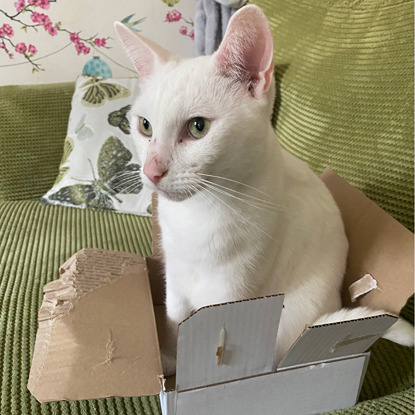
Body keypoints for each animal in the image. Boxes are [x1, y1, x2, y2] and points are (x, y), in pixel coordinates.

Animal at [115, 4, 414, 376]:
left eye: (198, 127)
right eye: (144, 126)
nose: (151, 171)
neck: (200, 212)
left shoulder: (232, 289)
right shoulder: (175, 275)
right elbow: (174, 320)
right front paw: (167, 355)